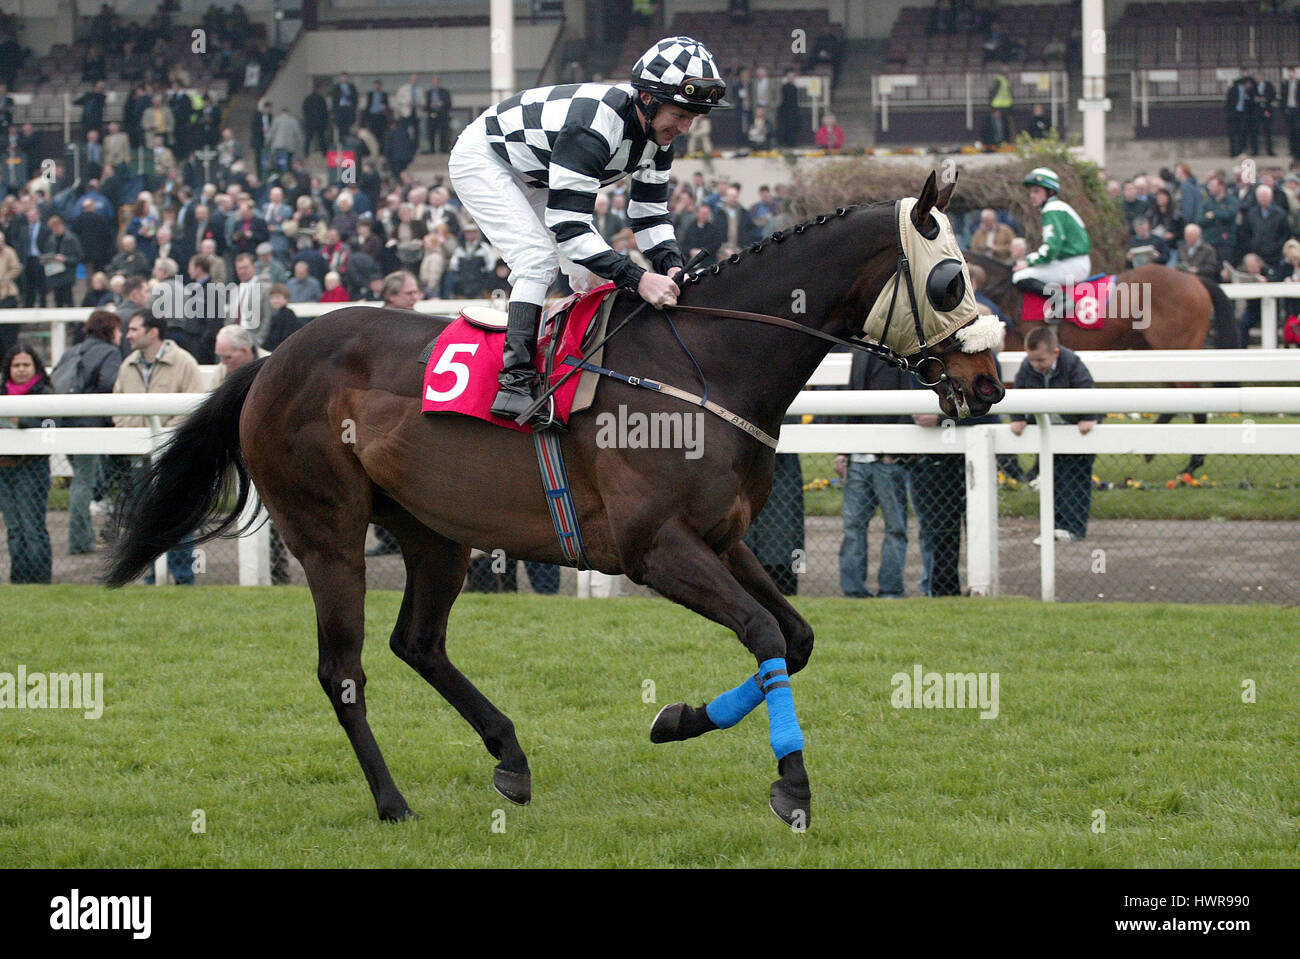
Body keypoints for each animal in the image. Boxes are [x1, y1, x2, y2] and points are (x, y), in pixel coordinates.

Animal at [109, 174, 1003, 831]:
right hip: (328, 534)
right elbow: (760, 633)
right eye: (950, 277)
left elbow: (796, 637)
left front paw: (676, 718)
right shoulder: (655, 548)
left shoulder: (722, 537)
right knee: (345, 672)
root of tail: (269, 360)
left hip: (435, 531)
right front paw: (792, 785)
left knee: (418, 643)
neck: (708, 361)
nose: (990, 382)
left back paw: (509, 755)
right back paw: (393, 801)